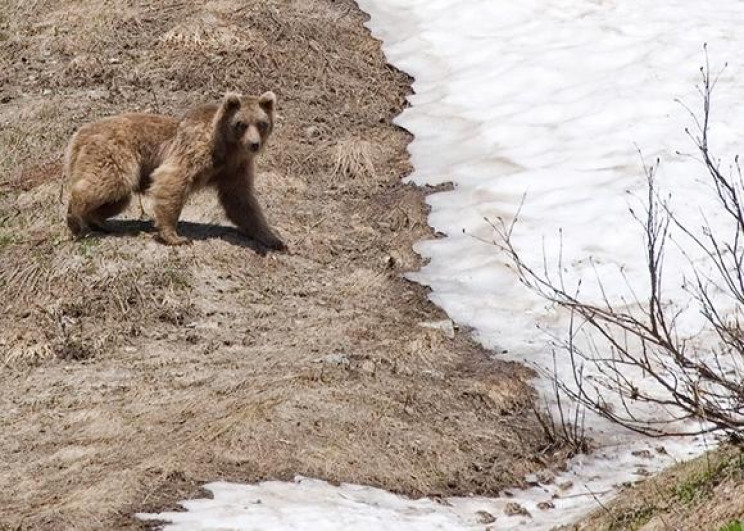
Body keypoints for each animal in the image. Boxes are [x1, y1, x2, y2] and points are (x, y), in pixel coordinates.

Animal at [65, 91, 284, 249]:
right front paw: (176, 237)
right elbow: (172, 178)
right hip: (115, 154)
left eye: (262, 123)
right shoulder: (195, 150)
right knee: (109, 182)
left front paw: (273, 239)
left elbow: (242, 202)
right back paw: (75, 218)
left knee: (117, 198)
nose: (254, 144)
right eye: (241, 124)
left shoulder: (234, 170)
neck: (226, 151)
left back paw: (99, 222)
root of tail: (79, 135)